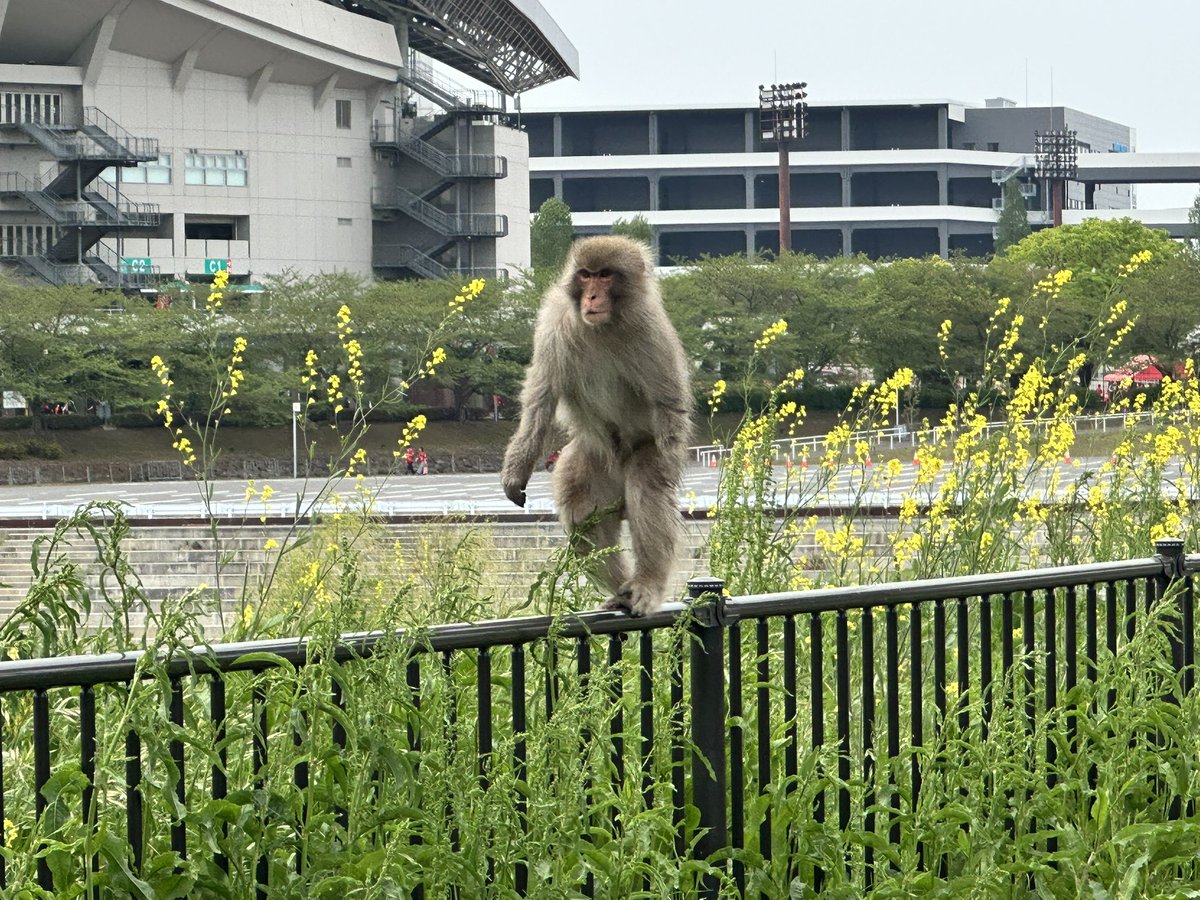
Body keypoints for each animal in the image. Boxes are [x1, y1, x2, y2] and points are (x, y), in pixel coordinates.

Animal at [501, 235, 693, 616]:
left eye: (605, 275)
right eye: (586, 275)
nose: (591, 297)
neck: (604, 326)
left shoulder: (652, 331)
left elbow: (668, 402)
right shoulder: (553, 322)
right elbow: (540, 399)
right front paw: (517, 468)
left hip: (638, 455)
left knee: (647, 488)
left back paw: (645, 584)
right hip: (592, 459)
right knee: (579, 506)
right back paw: (620, 589)